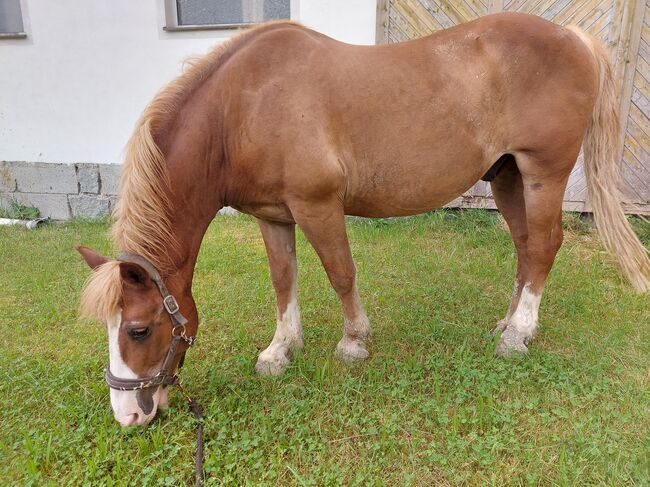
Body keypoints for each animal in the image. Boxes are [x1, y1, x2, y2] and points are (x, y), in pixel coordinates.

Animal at [77, 12, 648, 428]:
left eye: (138, 329)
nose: (128, 416)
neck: (242, 106)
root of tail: (575, 37)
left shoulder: (318, 205)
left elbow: (340, 272)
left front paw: (353, 341)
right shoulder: (273, 216)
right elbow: (283, 279)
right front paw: (280, 350)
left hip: (542, 172)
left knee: (546, 244)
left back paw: (518, 336)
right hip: (507, 176)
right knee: (527, 247)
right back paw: (511, 324)